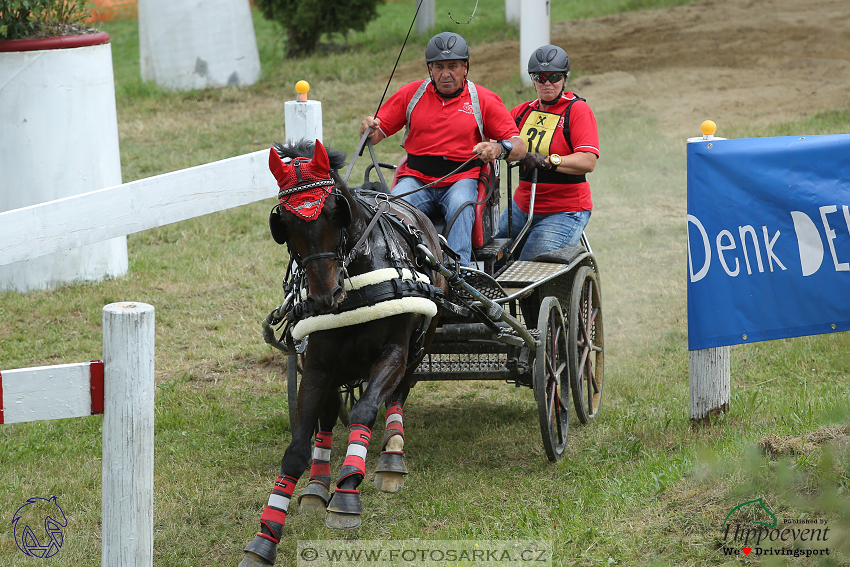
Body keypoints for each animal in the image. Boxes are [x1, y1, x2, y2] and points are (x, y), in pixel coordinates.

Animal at [240, 139, 450, 567]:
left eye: (334, 212)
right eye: (285, 223)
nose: (325, 295)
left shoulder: (394, 353)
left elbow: (366, 410)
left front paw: (348, 493)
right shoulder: (318, 365)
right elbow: (297, 447)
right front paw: (266, 536)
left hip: (421, 344)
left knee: (396, 396)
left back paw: (390, 457)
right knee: (326, 418)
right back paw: (317, 486)